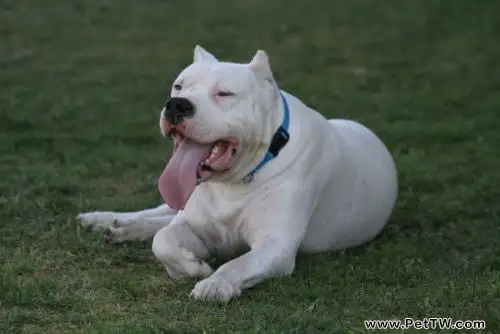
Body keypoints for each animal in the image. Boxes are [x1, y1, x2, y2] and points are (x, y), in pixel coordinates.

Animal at [79, 45, 398, 302]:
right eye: (178, 86)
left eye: (224, 94)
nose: (177, 105)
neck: (231, 181)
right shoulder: (193, 223)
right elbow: (164, 240)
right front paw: (193, 266)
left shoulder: (276, 245)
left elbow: (238, 264)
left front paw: (215, 284)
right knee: (158, 216)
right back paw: (107, 221)